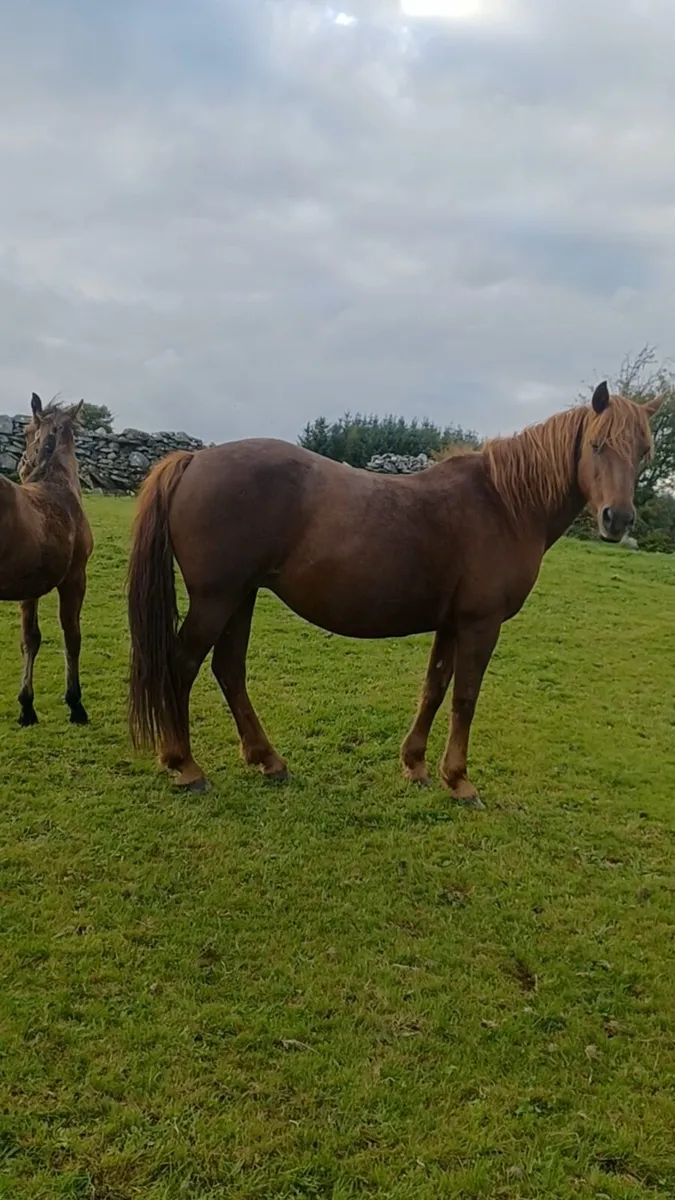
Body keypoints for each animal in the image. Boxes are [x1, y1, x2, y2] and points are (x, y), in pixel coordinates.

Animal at [0, 394, 93, 726]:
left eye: (27, 432)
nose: (21, 465)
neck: (57, 485)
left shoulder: (28, 589)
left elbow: (30, 638)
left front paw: (26, 707)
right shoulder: (75, 578)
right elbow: (72, 636)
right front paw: (76, 704)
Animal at [127, 381, 662, 805]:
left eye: (643, 451)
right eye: (596, 444)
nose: (618, 519)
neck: (504, 504)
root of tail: (195, 459)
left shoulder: (451, 623)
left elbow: (435, 688)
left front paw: (416, 765)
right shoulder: (480, 624)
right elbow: (465, 696)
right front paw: (459, 781)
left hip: (241, 597)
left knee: (229, 669)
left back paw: (267, 760)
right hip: (216, 599)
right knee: (182, 666)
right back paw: (184, 765)